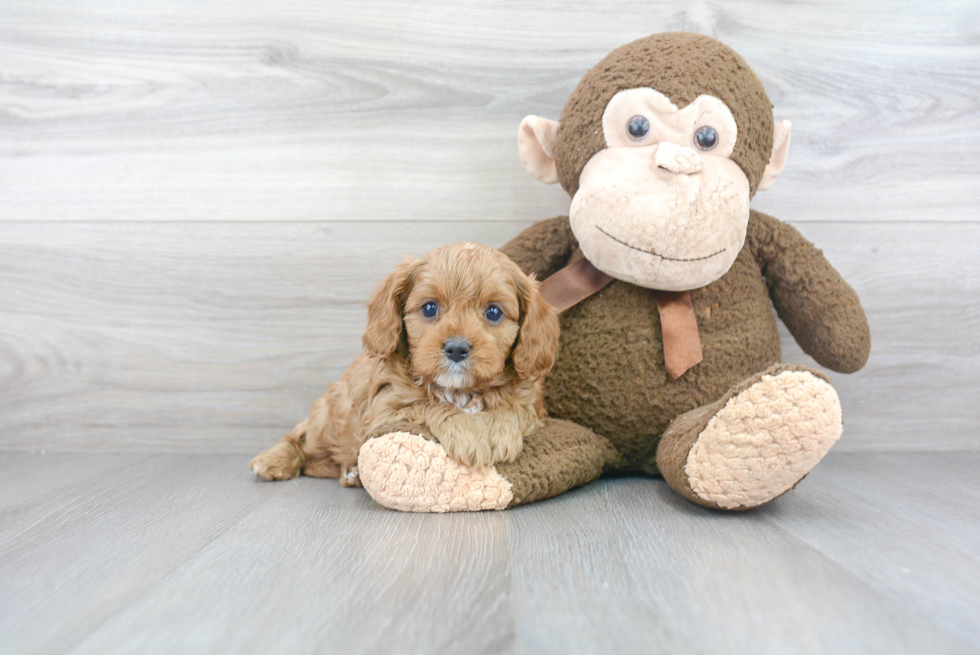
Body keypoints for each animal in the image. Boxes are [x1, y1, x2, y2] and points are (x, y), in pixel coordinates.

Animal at [249, 242, 564, 486]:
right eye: (429, 308)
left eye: (494, 312)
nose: (456, 348)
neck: (460, 391)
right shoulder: (383, 411)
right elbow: (427, 405)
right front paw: (468, 433)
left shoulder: (533, 408)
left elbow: (513, 408)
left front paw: (499, 430)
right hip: (328, 416)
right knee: (300, 438)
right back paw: (274, 460)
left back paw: (350, 473)